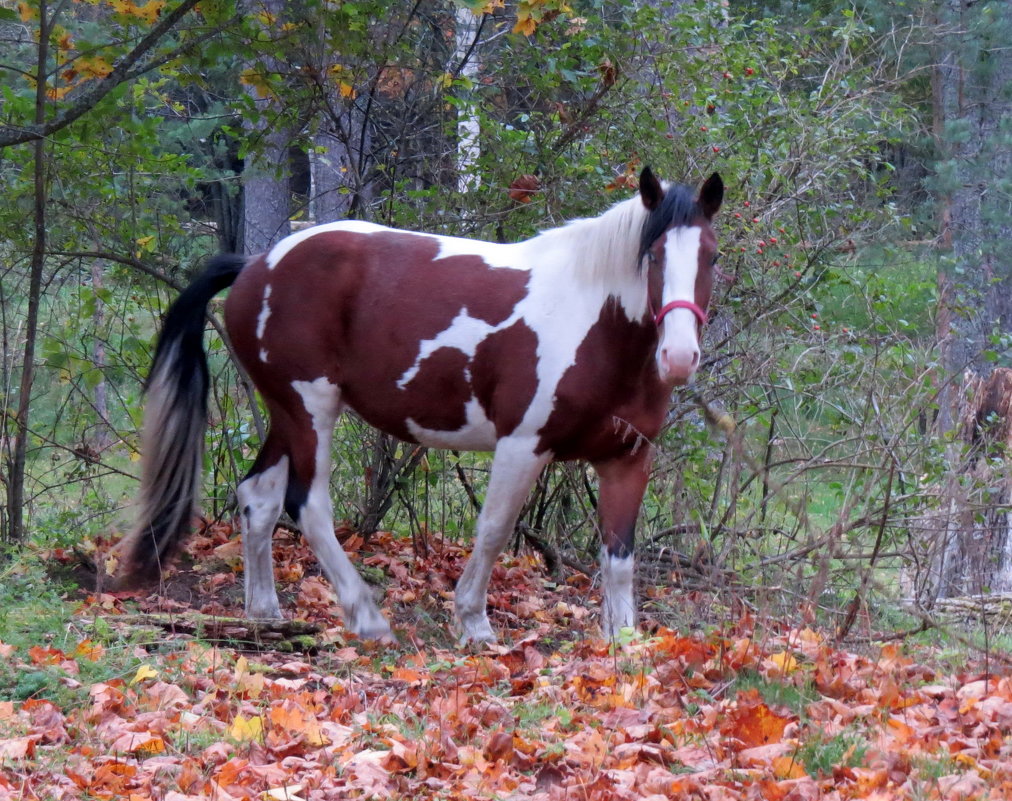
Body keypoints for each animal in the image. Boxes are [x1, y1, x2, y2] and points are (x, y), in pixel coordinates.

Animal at [116, 168, 720, 643]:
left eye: (711, 257)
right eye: (653, 256)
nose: (679, 357)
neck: (595, 325)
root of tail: (255, 265)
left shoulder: (627, 458)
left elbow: (619, 557)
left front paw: (624, 643)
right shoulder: (522, 446)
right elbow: (494, 529)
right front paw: (474, 623)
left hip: (285, 412)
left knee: (257, 497)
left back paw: (265, 613)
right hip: (311, 408)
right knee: (307, 505)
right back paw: (366, 617)